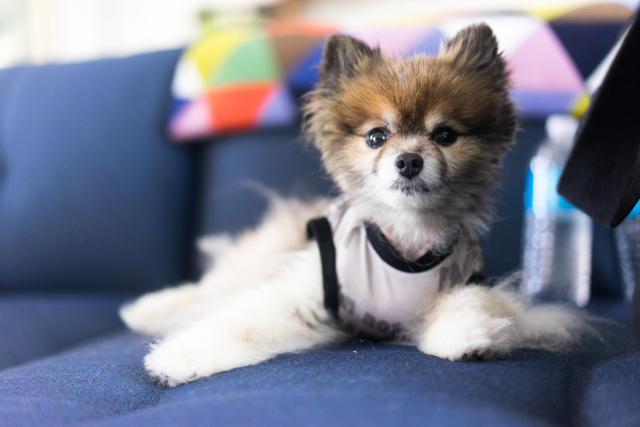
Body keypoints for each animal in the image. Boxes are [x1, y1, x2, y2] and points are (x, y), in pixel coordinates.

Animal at [119, 23, 584, 388]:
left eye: (445, 135)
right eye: (377, 137)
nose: (409, 160)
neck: (404, 239)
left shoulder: (468, 279)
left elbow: (475, 305)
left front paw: (466, 335)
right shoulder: (307, 291)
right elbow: (239, 323)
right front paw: (175, 358)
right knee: (208, 291)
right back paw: (144, 310)